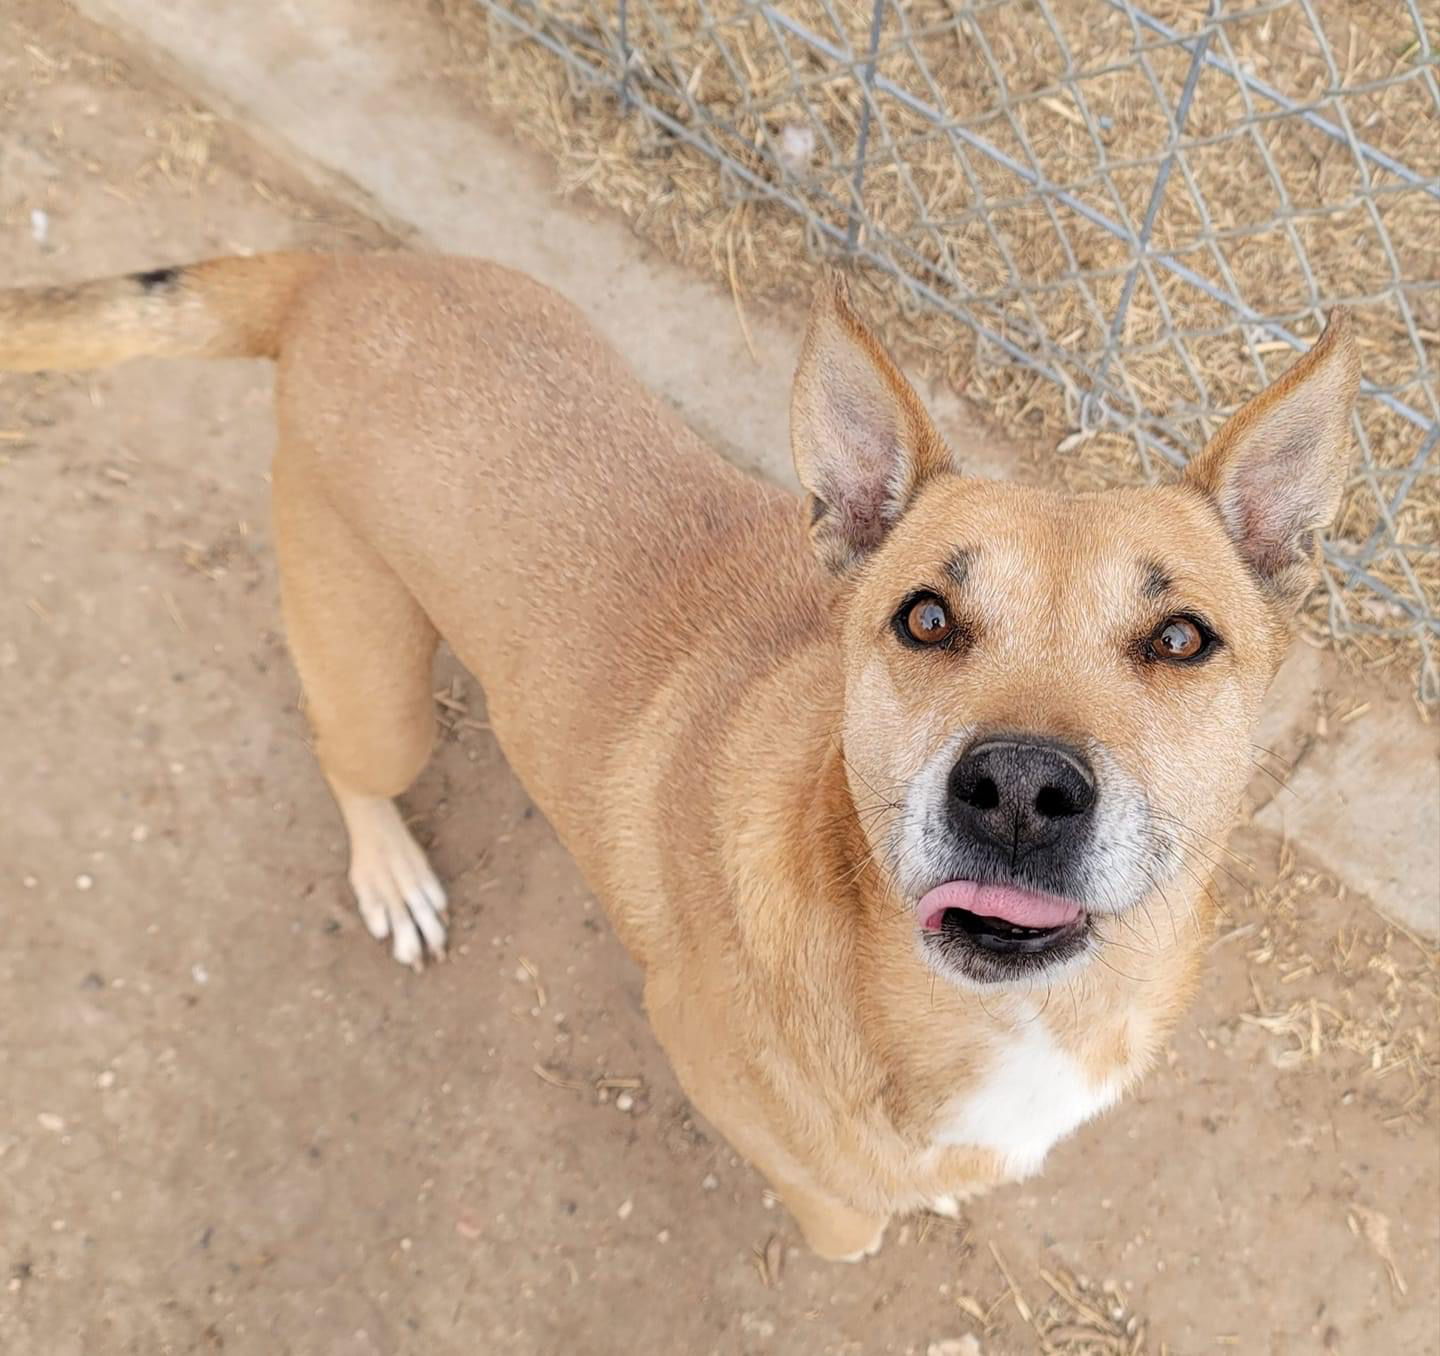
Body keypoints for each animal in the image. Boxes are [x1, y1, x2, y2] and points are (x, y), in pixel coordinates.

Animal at [0, 257, 1353, 1260]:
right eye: (926, 618)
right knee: (352, 758)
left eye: (1181, 639)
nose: (1019, 792)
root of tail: (339, 269)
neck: (1001, 1013)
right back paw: (390, 871)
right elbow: (843, 1211)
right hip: (376, 677)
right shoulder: (715, 1075)